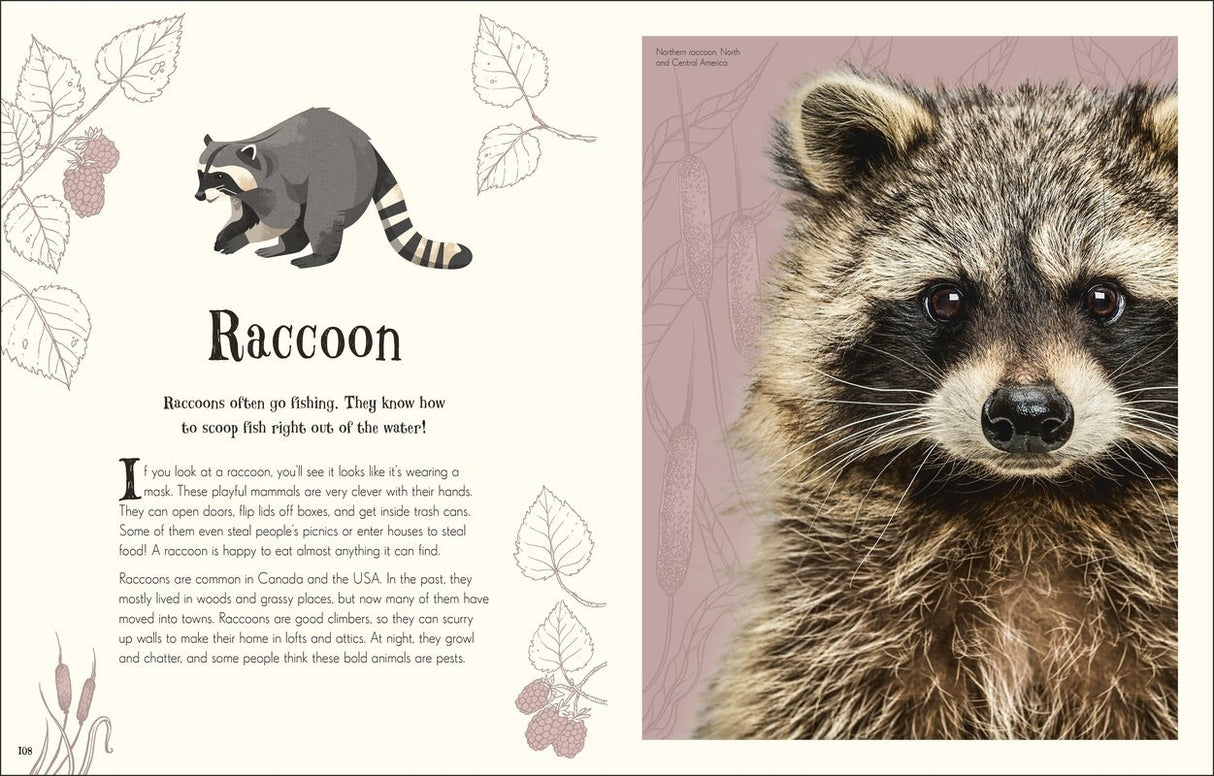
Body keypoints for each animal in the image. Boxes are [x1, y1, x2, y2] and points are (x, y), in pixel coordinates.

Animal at [195, 108, 472, 270]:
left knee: (318, 216)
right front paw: (228, 231)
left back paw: (317, 256)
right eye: (201, 174)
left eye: (218, 174)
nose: (199, 196)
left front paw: (243, 238)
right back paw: (287, 247)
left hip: (342, 174)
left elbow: (282, 217)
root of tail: (368, 147)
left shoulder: (277, 182)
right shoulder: (245, 192)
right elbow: (245, 214)